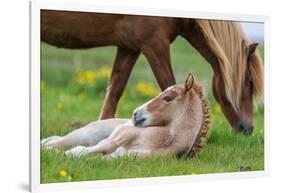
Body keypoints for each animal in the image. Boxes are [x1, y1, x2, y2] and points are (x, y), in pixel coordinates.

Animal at [41, 9, 262, 135]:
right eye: (249, 81)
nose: (248, 129)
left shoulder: (129, 48)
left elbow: (115, 91)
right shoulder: (155, 44)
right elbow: (169, 84)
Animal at [41, 74, 208, 158]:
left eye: (168, 98)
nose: (135, 114)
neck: (163, 140)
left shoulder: (125, 156)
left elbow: (105, 155)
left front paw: (71, 154)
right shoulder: (121, 135)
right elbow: (106, 145)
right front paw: (71, 153)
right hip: (85, 135)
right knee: (57, 141)